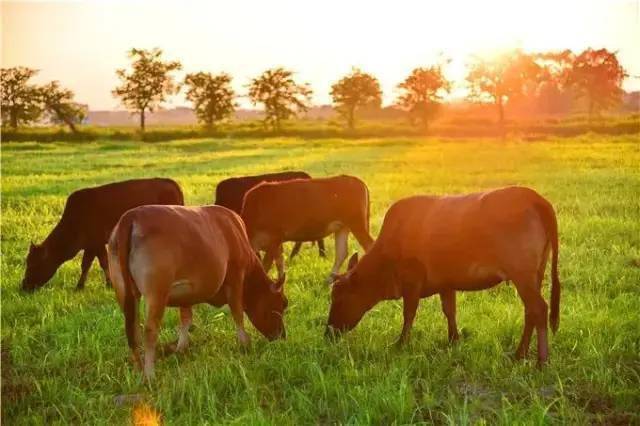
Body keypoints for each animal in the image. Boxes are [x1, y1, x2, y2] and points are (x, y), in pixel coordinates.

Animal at [22, 177, 182, 292]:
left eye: (34, 264)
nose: (24, 286)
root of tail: (171, 182)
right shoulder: (91, 245)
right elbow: (89, 264)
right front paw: (84, 285)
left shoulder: (96, 242)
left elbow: (98, 263)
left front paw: (104, 284)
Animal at [108, 204, 288, 380]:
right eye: (281, 304)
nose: (282, 336)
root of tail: (132, 215)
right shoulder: (236, 277)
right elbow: (237, 312)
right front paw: (245, 343)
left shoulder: (186, 293)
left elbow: (186, 319)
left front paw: (181, 348)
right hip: (157, 293)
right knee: (150, 331)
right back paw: (149, 374)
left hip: (125, 292)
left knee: (133, 330)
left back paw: (138, 369)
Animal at [242, 175, 378, 284]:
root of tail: (355, 180)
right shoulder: (276, 244)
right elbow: (280, 263)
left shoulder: (274, 239)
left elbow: (266, 266)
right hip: (343, 227)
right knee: (342, 252)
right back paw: (329, 280)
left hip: (357, 224)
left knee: (369, 246)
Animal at [328, 188, 556, 364]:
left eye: (338, 298)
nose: (328, 332)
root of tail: (535, 198)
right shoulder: (446, 283)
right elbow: (449, 311)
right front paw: (453, 339)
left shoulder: (412, 281)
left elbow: (409, 314)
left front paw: (401, 343)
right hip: (534, 275)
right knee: (530, 312)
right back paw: (520, 354)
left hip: (522, 276)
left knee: (539, 309)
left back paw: (541, 361)